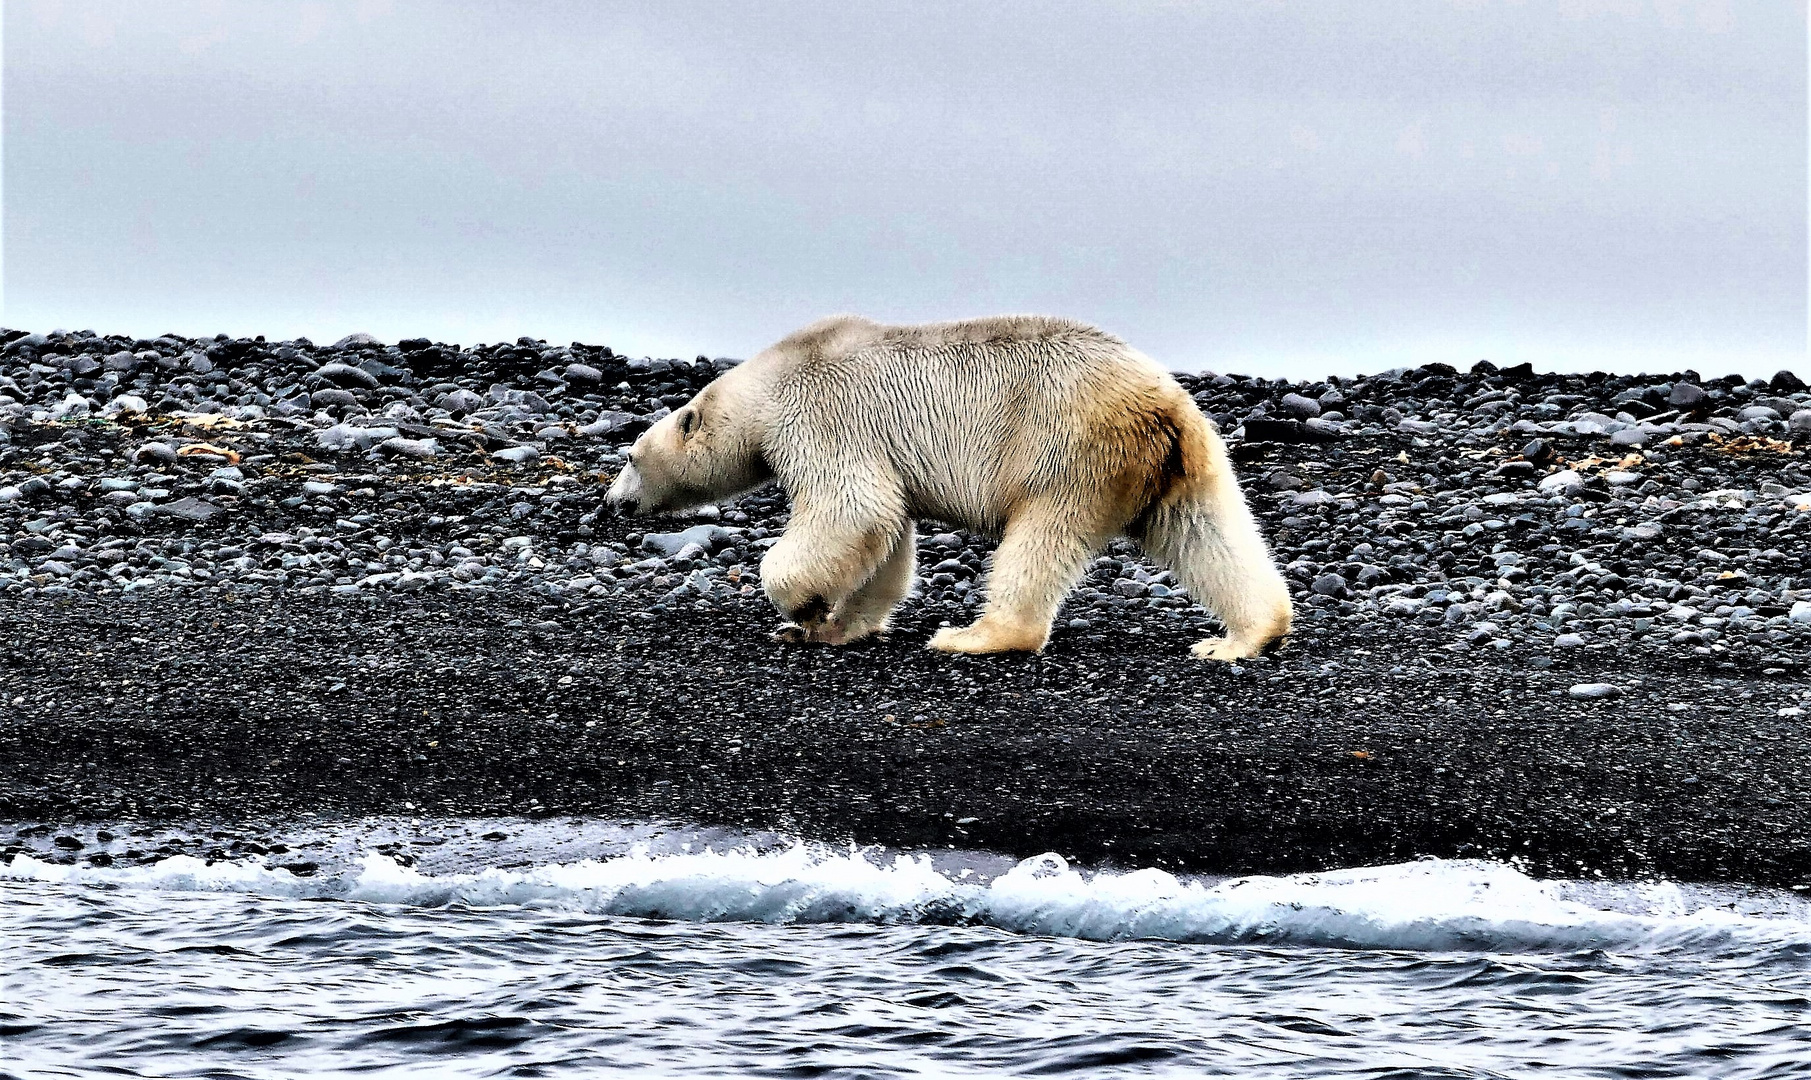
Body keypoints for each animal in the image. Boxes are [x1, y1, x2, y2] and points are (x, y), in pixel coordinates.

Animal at [604, 313, 1289, 659]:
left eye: (631, 456)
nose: (612, 500)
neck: (770, 382)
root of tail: (1163, 406)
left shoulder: (823, 415)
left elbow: (851, 510)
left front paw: (801, 610)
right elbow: (887, 537)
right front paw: (837, 624)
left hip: (1067, 456)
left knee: (1037, 544)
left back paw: (973, 635)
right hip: (1179, 463)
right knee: (1207, 533)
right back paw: (1239, 637)